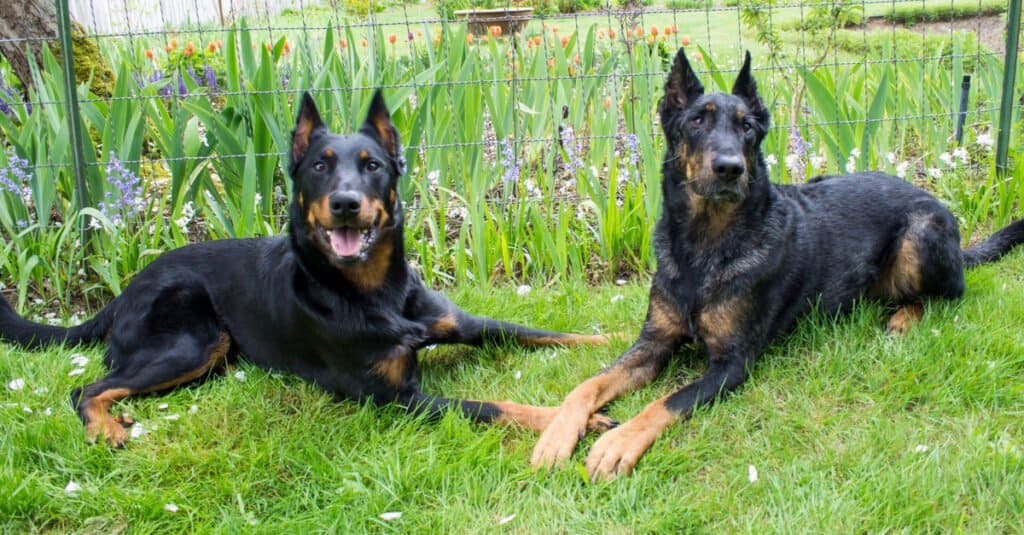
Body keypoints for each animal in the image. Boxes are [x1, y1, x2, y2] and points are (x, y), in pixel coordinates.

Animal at [0, 91, 614, 444]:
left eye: (372, 166)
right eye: (319, 166)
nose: (345, 202)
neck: (376, 292)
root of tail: (125, 290)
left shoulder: (460, 323)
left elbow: (536, 331)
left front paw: (604, 341)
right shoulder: (395, 399)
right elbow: (494, 406)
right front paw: (572, 419)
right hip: (192, 340)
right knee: (86, 388)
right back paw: (105, 428)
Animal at [528, 48, 1024, 479]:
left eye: (747, 127)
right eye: (696, 121)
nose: (730, 168)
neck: (704, 247)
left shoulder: (731, 364)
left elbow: (664, 402)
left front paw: (616, 444)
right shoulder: (653, 342)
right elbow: (587, 386)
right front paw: (557, 434)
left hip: (920, 236)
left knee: (951, 293)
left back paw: (905, 317)